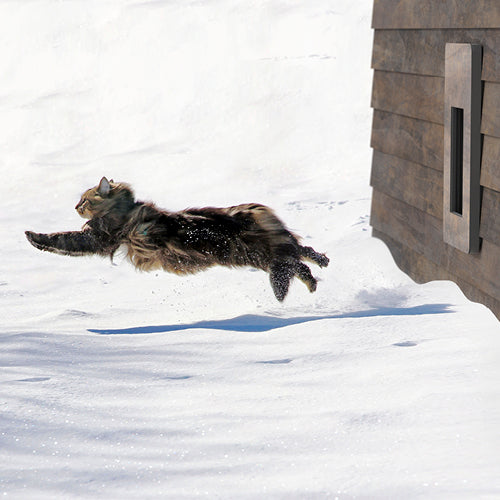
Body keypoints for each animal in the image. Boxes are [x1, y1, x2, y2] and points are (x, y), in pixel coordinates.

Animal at [26, 179, 328, 300]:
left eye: (84, 200)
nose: (75, 207)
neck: (125, 209)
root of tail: (253, 212)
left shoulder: (100, 237)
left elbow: (62, 239)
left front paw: (32, 236)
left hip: (258, 255)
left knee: (297, 262)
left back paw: (313, 282)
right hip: (270, 251)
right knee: (303, 252)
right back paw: (321, 266)